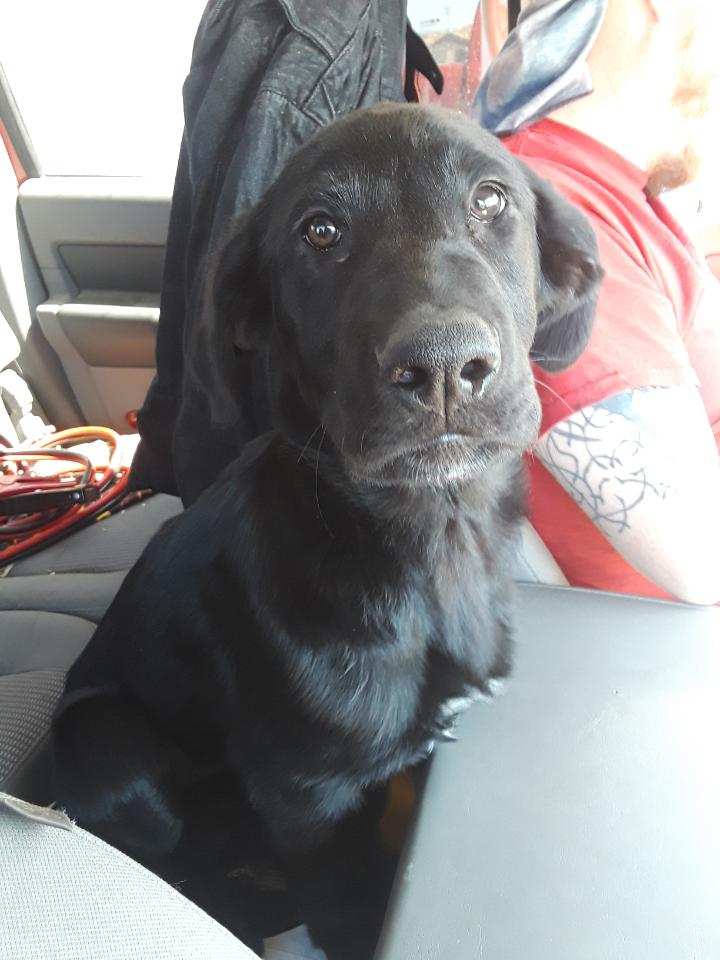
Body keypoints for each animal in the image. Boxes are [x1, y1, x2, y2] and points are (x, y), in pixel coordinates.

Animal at [52, 105, 600, 960]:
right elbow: (343, 905)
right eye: (319, 231)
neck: (436, 536)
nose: (443, 367)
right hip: (103, 745)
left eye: (491, 199)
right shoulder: (308, 801)